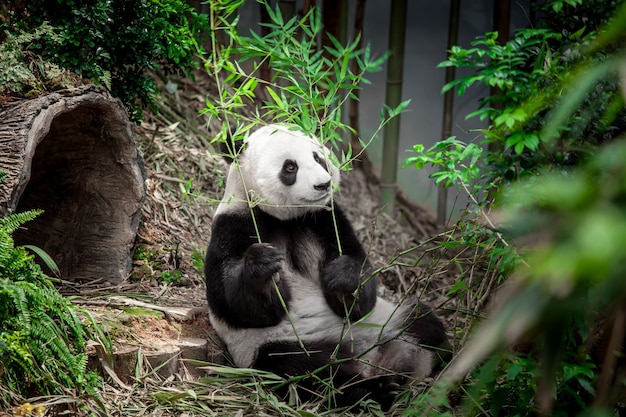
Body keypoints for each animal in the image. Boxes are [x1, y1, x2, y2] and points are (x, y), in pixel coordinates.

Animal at [205, 122, 448, 406]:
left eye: (318, 158)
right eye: (290, 167)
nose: (324, 184)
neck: (286, 219)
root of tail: (368, 357)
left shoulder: (326, 219)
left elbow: (360, 281)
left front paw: (342, 276)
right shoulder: (234, 223)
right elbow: (235, 304)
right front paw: (263, 266)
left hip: (388, 319)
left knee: (421, 321)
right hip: (275, 344)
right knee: (303, 369)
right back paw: (374, 389)